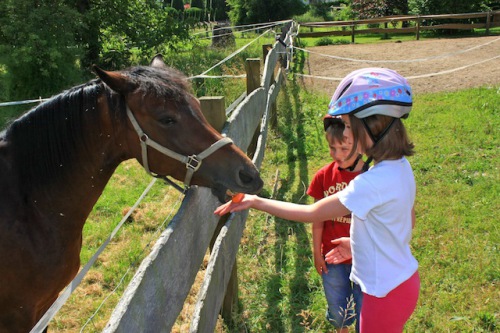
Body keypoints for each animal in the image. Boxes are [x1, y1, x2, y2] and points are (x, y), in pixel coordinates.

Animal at [0, 55, 264, 330]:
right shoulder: (21, 316)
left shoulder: (44, 310)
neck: (29, 209)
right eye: (166, 119)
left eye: (197, 105)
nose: (248, 174)